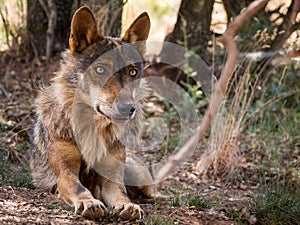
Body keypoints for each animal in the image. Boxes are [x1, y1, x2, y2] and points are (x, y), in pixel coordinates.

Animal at [29, 6, 159, 221]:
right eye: (100, 69)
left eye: (132, 72)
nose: (128, 108)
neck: (94, 128)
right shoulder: (65, 172)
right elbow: (79, 187)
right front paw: (89, 203)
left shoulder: (111, 178)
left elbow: (121, 193)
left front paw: (128, 205)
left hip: (138, 175)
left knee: (149, 192)